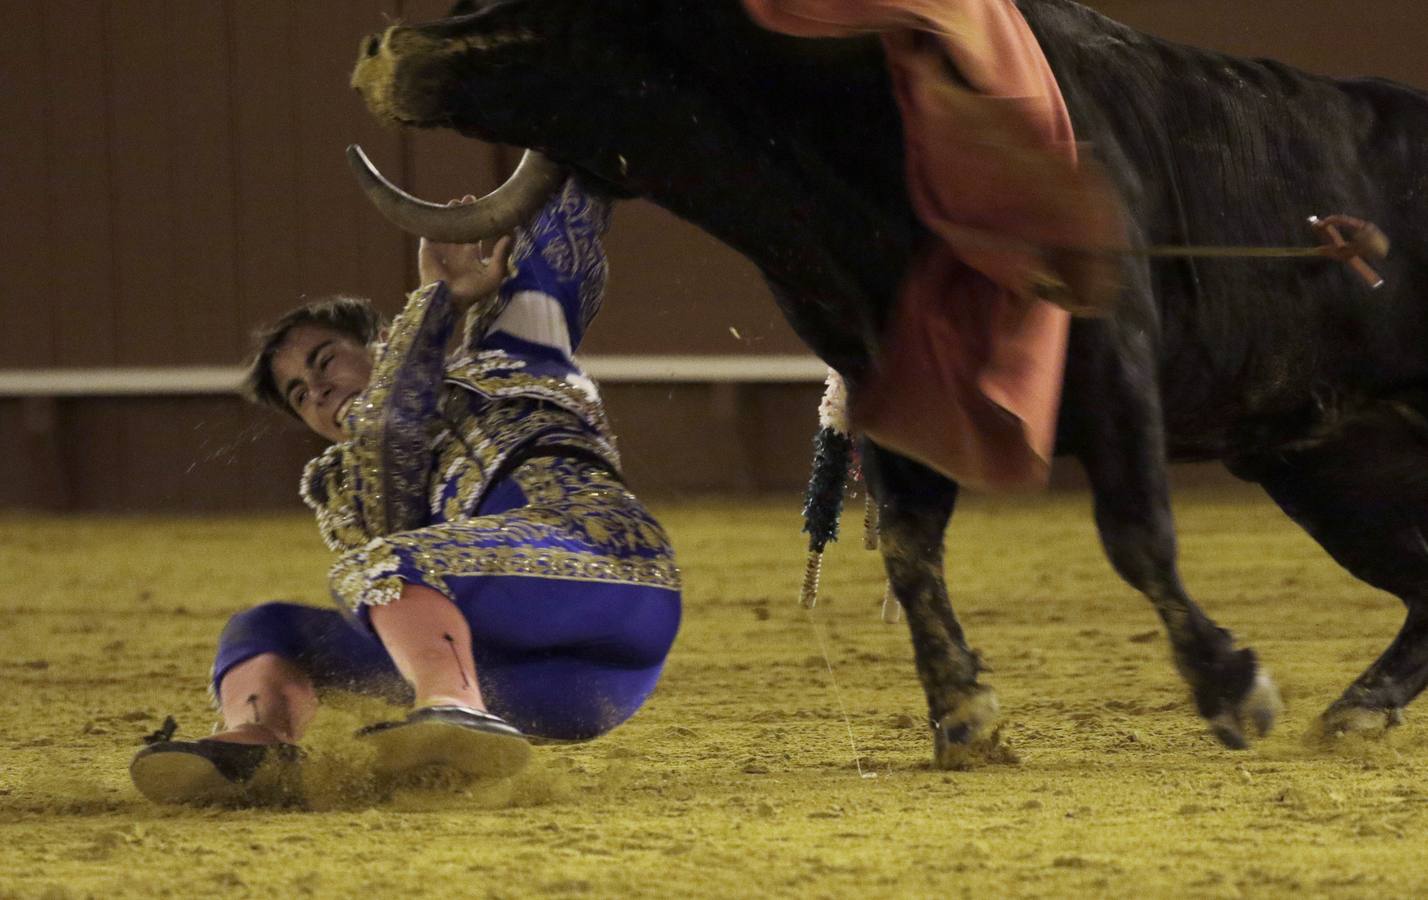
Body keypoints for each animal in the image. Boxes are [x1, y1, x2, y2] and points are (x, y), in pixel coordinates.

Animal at [351, 0, 1428, 771]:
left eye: (554, 9)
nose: (378, 46)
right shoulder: (900, 394)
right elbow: (912, 548)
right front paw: (965, 718)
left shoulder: (1113, 357)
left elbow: (1134, 535)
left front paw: (1232, 689)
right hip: (1331, 466)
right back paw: (1360, 711)